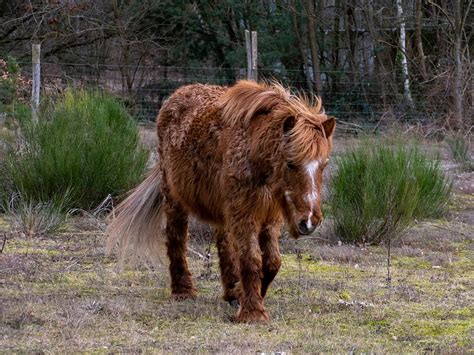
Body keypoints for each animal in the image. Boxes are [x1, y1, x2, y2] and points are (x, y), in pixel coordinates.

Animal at [107, 80, 336, 322]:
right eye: (291, 163)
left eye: (324, 164)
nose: (309, 221)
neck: (253, 148)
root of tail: (176, 96)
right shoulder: (244, 213)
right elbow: (251, 260)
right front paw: (252, 312)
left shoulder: (269, 217)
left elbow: (272, 262)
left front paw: (245, 294)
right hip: (174, 198)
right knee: (176, 238)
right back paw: (183, 291)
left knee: (224, 243)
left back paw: (231, 290)